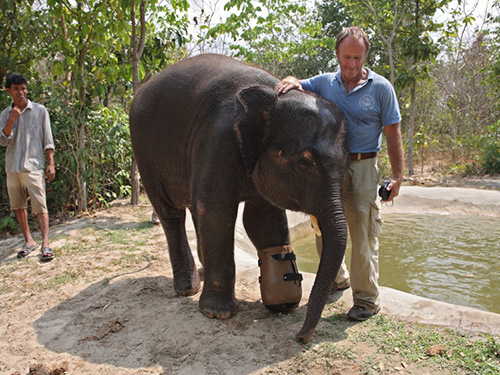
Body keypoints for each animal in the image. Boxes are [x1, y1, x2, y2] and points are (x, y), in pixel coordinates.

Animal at [129, 53, 348, 344]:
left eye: (346, 164)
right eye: (304, 165)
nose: (300, 337)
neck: (272, 95)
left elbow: (262, 219)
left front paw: (283, 302)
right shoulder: (218, 139)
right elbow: (217, 210)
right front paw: (217, 314)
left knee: (195, 209)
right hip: (145, 153)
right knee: (172, 213)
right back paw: (187, 289)